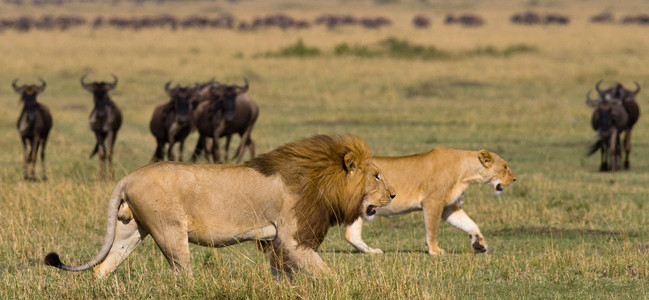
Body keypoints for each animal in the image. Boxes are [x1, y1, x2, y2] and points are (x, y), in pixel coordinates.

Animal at [44, 135, 394, 278]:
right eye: (377, 175)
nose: (392, 194)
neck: (320, 180)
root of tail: (128, 176)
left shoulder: (276, 241)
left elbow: (282, 275)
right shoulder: (292, 237)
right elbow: (325, 272)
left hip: (131, 229)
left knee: (103, 267)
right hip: (169, 231)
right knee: (181, 274)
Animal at [344, 146, 516, 254]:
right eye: (505, 167)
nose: (514, 179)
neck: (466, 173)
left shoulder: (450, 207)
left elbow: (470, 224)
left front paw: (479, 245)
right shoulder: (433, 202)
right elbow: (432, 229)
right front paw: (435, 251)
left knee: (351, 235)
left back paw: (372, 251)